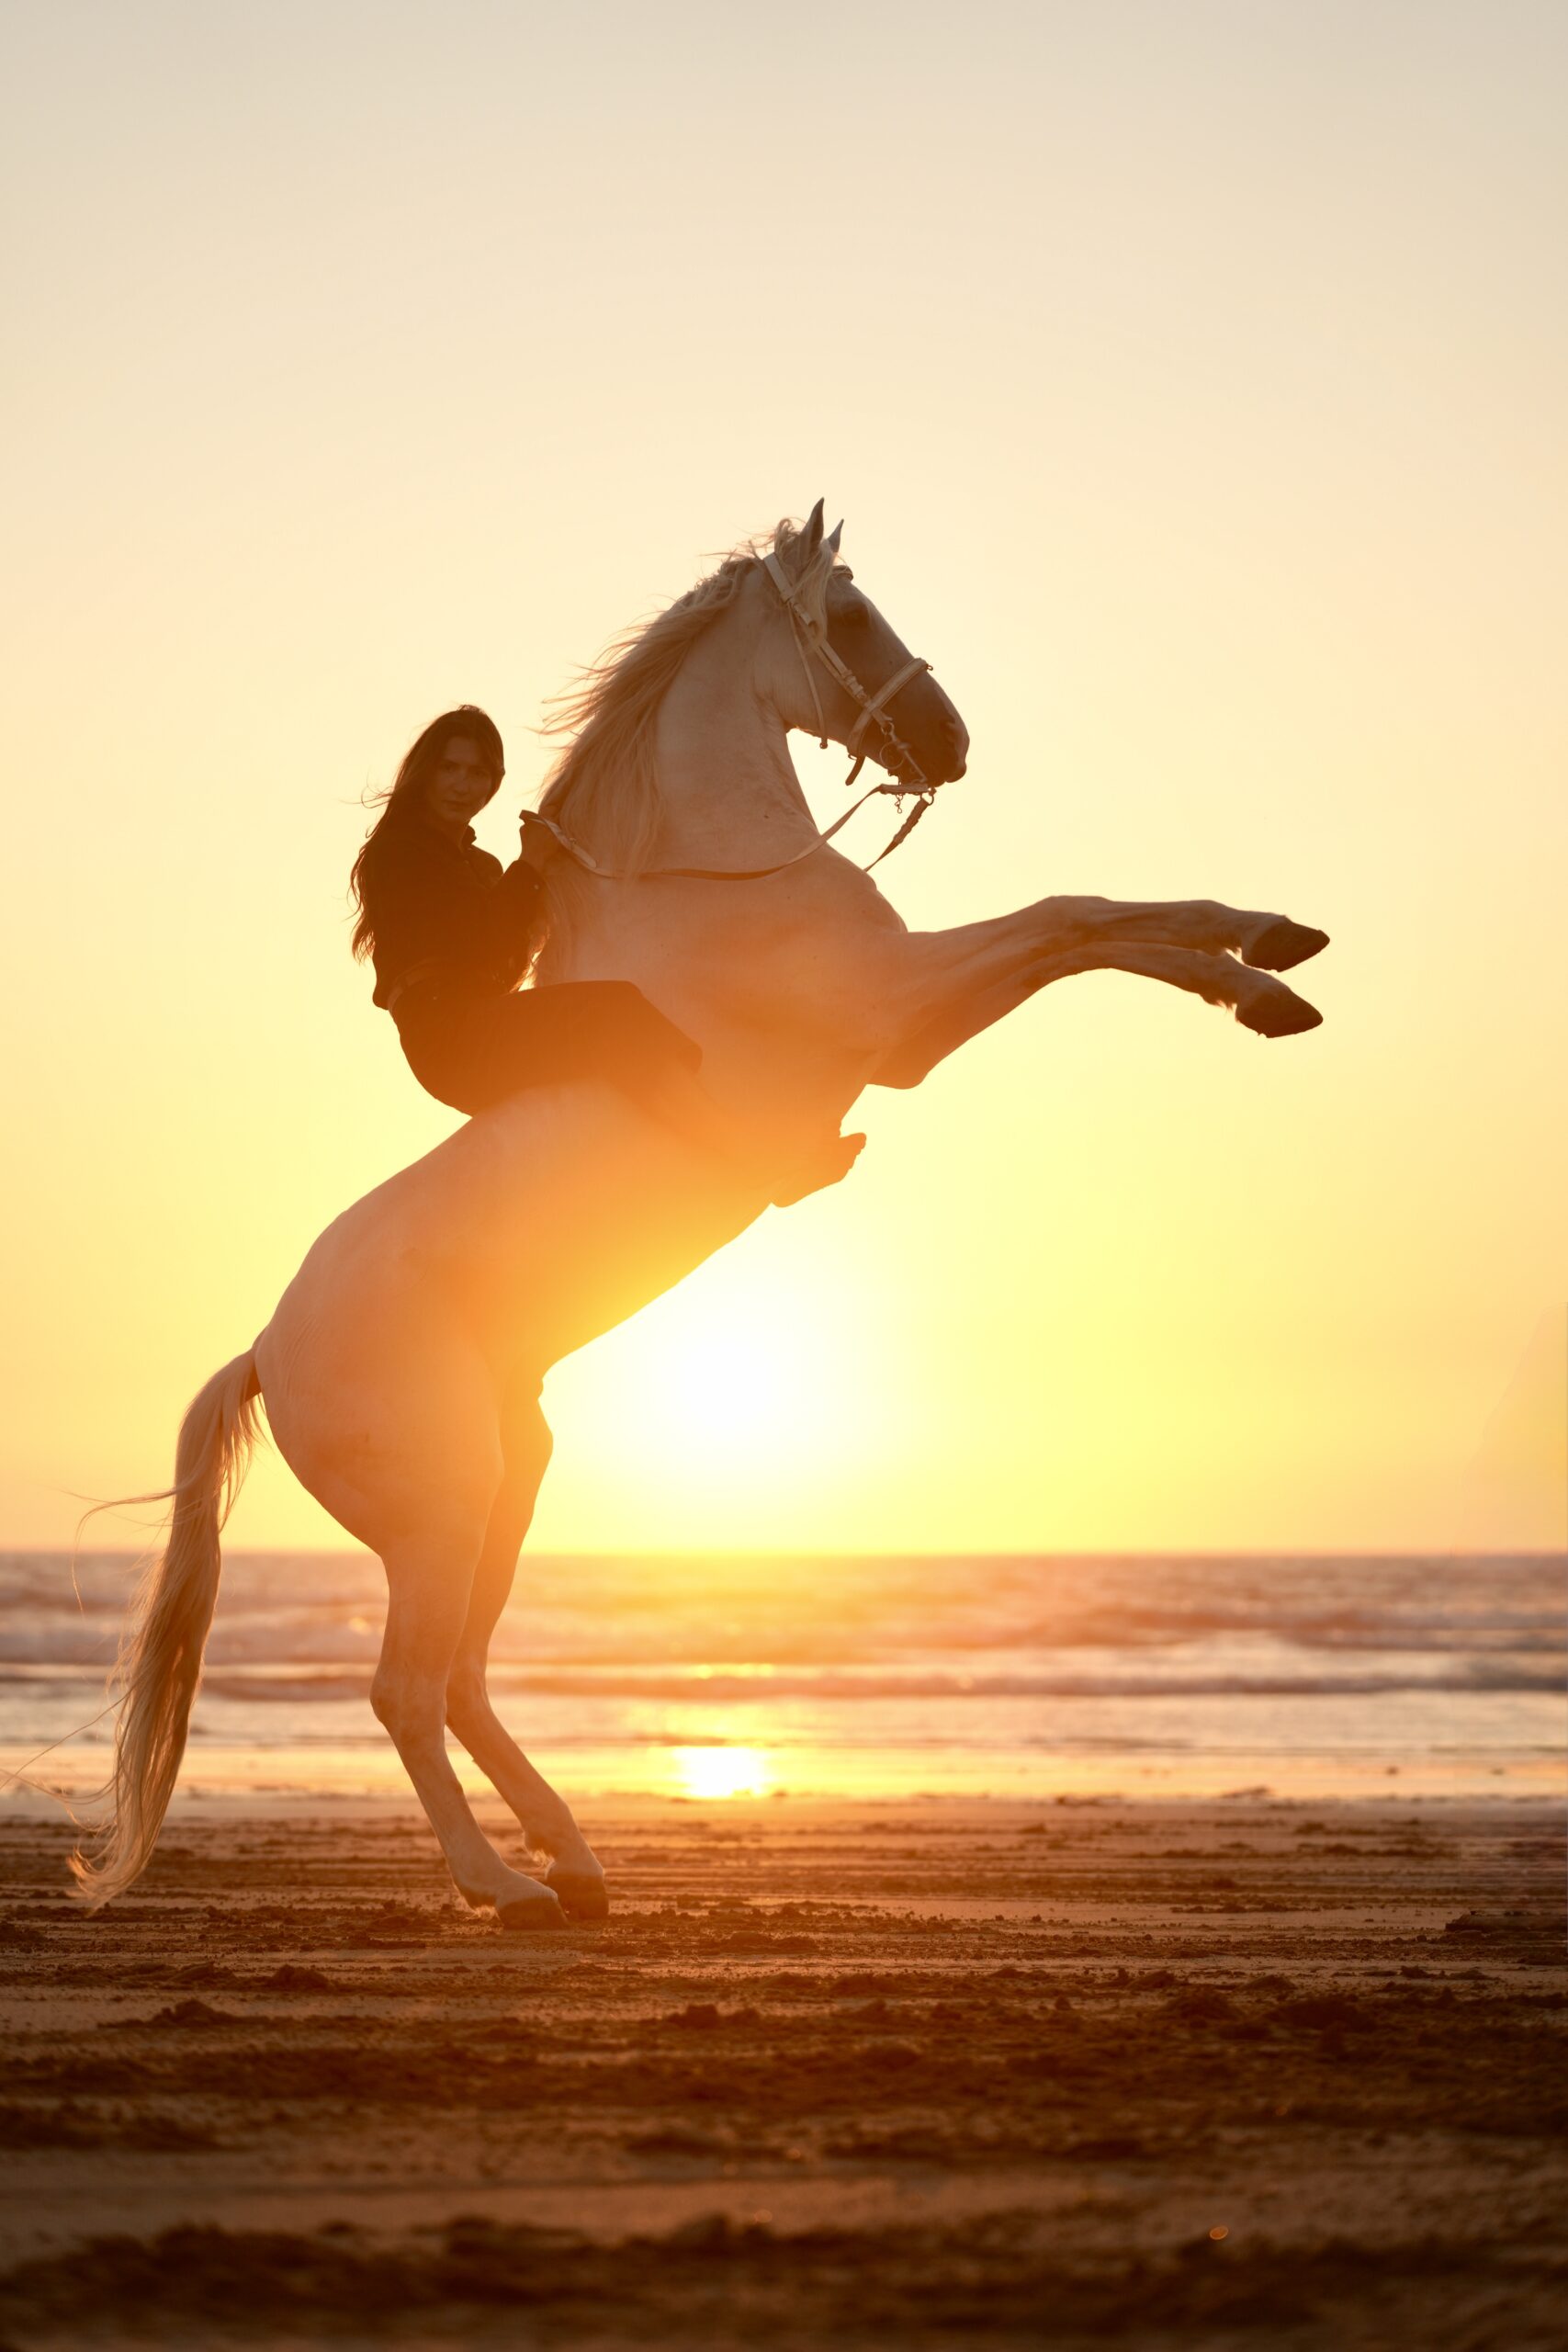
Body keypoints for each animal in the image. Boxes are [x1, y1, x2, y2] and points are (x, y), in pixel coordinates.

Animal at [73, 502, 1328, 1924]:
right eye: (848, 617)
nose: (952, 743)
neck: (713, 878)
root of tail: (266, 1353)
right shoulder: (908, 1013)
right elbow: (1073, 918)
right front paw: (1262, 983)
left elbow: (1098, 919)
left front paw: (1273, 953)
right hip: (442, 1512)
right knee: (404, 1690)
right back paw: (501, 1883)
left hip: (512, 1483)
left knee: (462, 1680)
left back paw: (573, 1861)